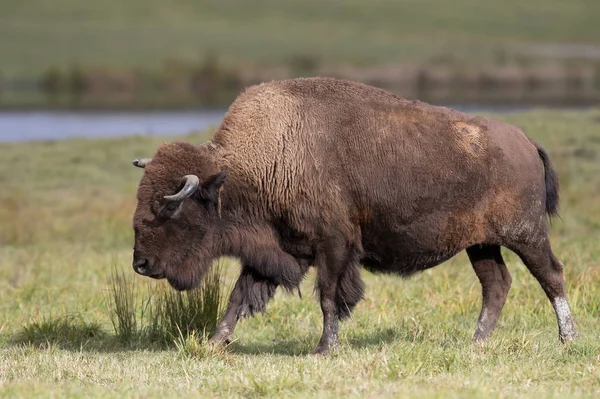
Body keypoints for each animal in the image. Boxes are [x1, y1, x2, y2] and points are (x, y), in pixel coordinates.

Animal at [130, 76, 576, 354]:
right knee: (497, 284)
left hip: (525, 234)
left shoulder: (334, 245)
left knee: (551, 275)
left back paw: (568, 340)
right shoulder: (276, 249)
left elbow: (328, 297)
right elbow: (239, 296)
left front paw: (323, 349)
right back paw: (477, 342)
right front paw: (214, 343)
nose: (141, 264)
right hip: (481, 245)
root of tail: (525, 141)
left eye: (169, 208)